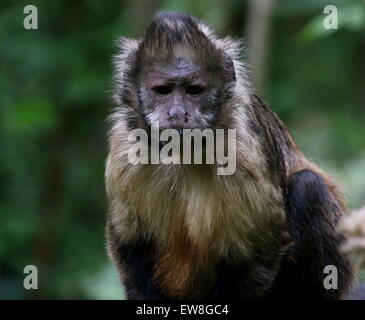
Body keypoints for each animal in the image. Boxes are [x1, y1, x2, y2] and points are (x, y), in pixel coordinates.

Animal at [104, 11, 352, 298]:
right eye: (163, 90)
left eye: (194, 90)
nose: (177, 114)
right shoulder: (124, 145)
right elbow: (127, 238)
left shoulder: (243, 150)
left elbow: (258, 249)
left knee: (308, 186)